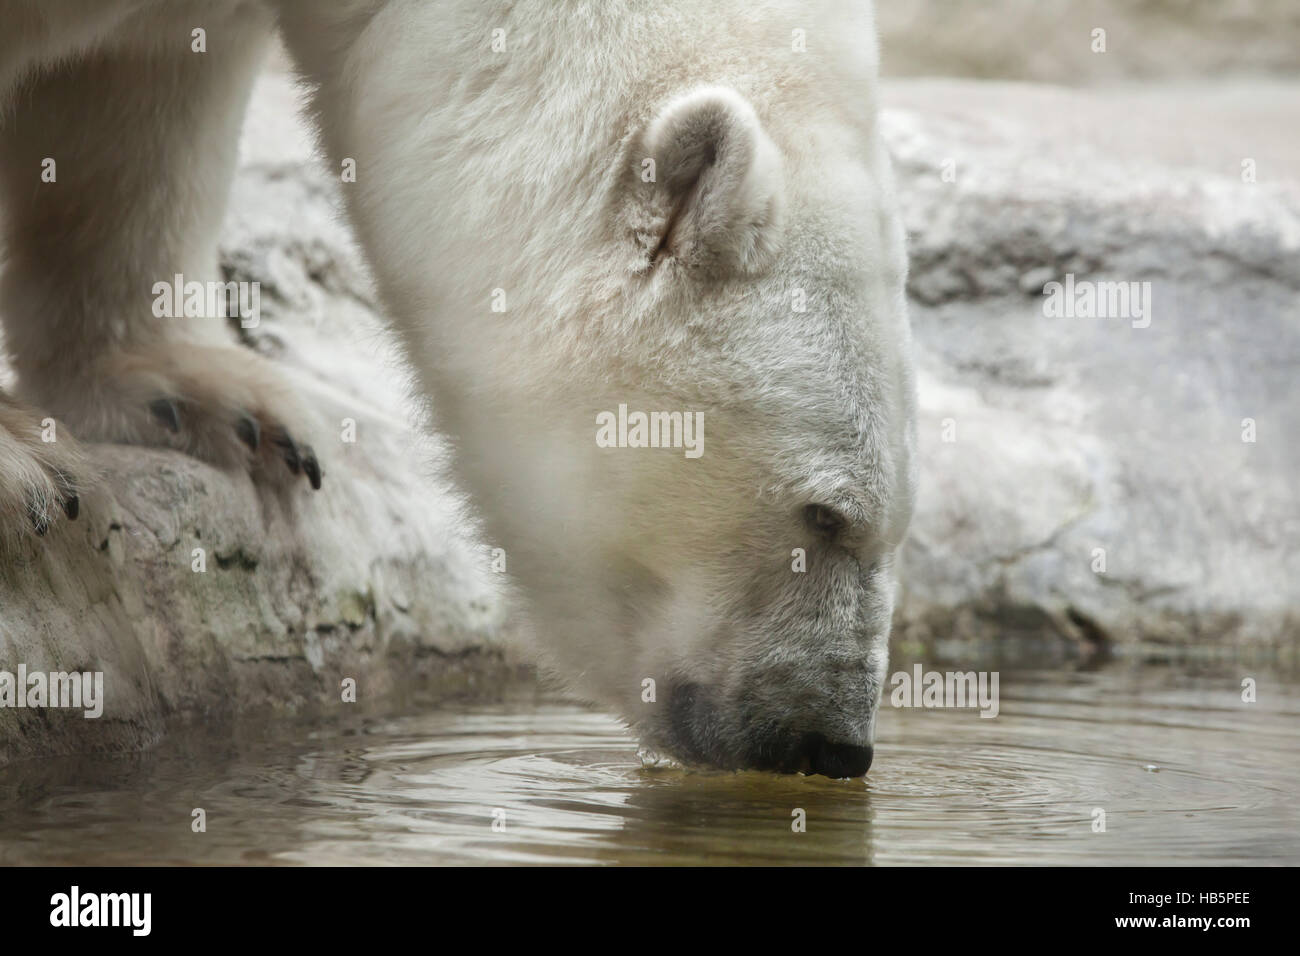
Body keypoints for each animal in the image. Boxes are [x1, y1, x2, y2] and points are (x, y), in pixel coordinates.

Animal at [0, 0, 915, 780]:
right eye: (825, 515)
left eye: (894, 523)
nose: (833, 745)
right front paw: (27, 464)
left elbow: (145, 96)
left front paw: (201, 393)